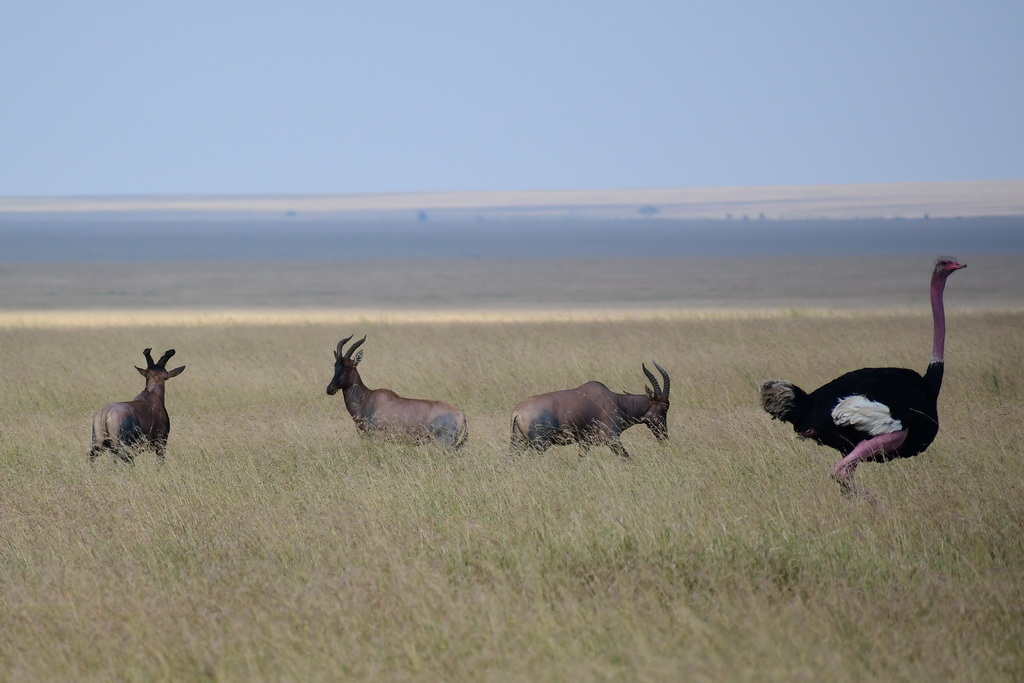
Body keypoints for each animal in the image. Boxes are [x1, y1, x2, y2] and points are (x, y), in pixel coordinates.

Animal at [325, 335, 468, 448]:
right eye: (335, 365)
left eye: (348, 366)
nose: (330, 389)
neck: (368, 398)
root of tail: (462, 415)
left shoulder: (378, 438)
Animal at [512, 362, 671, 458]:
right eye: (665, 406)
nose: (664, 437)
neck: (616, 401)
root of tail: (517, 412)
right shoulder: (612, 440)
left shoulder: (585, 443)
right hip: (539, 446)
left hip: (518, 444)